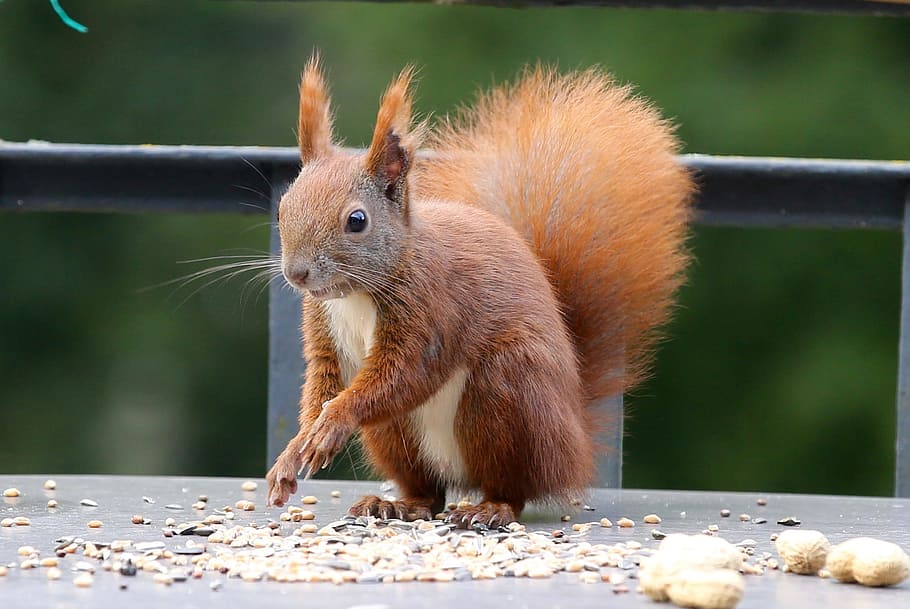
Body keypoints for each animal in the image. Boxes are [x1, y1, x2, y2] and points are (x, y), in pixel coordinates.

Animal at [265, 56, 693, 527]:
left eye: (356, 221)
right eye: (282, 209)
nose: (297, 274)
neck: (356, 294)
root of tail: (576, 441)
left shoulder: (432, 309)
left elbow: (406, 373)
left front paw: (334, 421)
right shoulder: (323, 326)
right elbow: (322, 384)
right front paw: (293, 451)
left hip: (507, 391)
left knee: (516, 486)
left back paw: (491, 508)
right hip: (397, 434)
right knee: (429, 492)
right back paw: (397, 503)